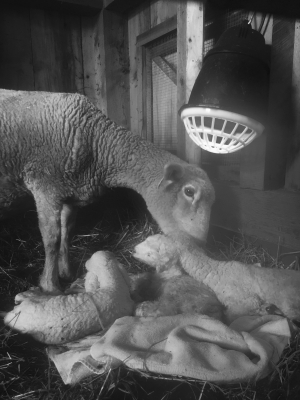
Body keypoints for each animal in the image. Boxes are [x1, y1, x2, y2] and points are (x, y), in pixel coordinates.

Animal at [0, 88, 216, 294]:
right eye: (189, 192)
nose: (201, 245)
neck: (97, 141)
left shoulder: (70, 193)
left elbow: (67, 232)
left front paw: (66, 273)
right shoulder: (45, 186)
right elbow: (52, 238)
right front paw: (50, 286)